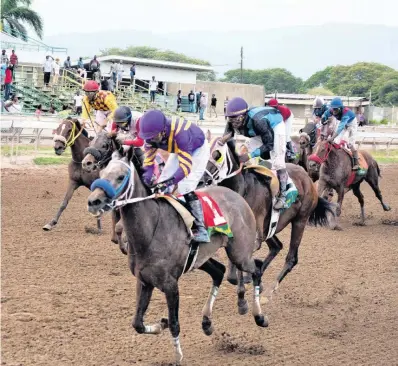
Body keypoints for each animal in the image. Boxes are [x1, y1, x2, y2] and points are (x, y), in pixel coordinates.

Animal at [87, 153, 268, 364]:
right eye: (102, 173)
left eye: (120, 176)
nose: (94, 201)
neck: (150, 231)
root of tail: (237, 197)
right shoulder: (144, 281)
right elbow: (137, 324)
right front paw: (161, 324)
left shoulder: (170, 285)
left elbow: (175, 323)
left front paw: (178, 356)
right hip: (202, 258)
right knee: (219, 271)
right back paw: (207, 322)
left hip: (239, 253)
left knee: (256, 268)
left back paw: (259, 316)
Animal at [202, 134, 336, 298]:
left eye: (217, 155)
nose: (202, 179)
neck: (243, 191)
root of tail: (307, 178)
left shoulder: (254, 237)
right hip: (270, 228)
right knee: (276, 246)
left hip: (300, 220)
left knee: (291, 258)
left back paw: (268, 293)